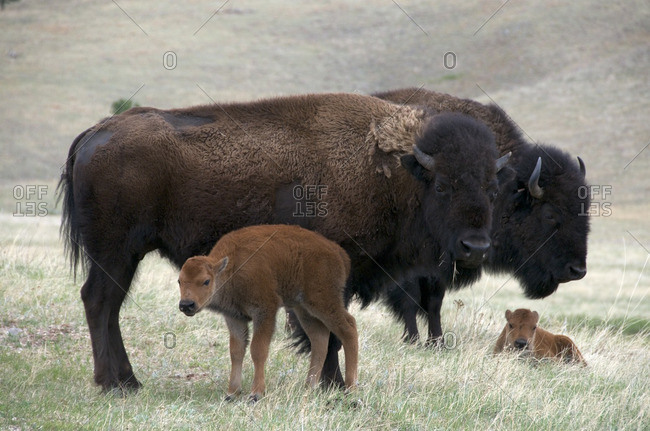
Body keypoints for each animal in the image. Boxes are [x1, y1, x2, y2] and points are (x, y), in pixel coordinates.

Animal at [178, 224, 358, 401]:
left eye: (206, 281)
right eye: (179, 281)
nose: (186, 305)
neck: (232, 268)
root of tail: (338, 252)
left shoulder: (264, 311)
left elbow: (258, 349)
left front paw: (256, 394)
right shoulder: (234, 317)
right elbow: (236, 351)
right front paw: (232, 393)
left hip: (324, 302)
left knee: (349, 328)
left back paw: (351, 389)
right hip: (304, 310)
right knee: (319, 338)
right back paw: (309, 387)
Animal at [372, 88, 590, 346]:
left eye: (585, 209)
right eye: (549, 213)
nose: (577, 271)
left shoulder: (443, 266)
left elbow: (434, 302)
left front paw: (438, 343)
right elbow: (411, 298)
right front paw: (413, 340)